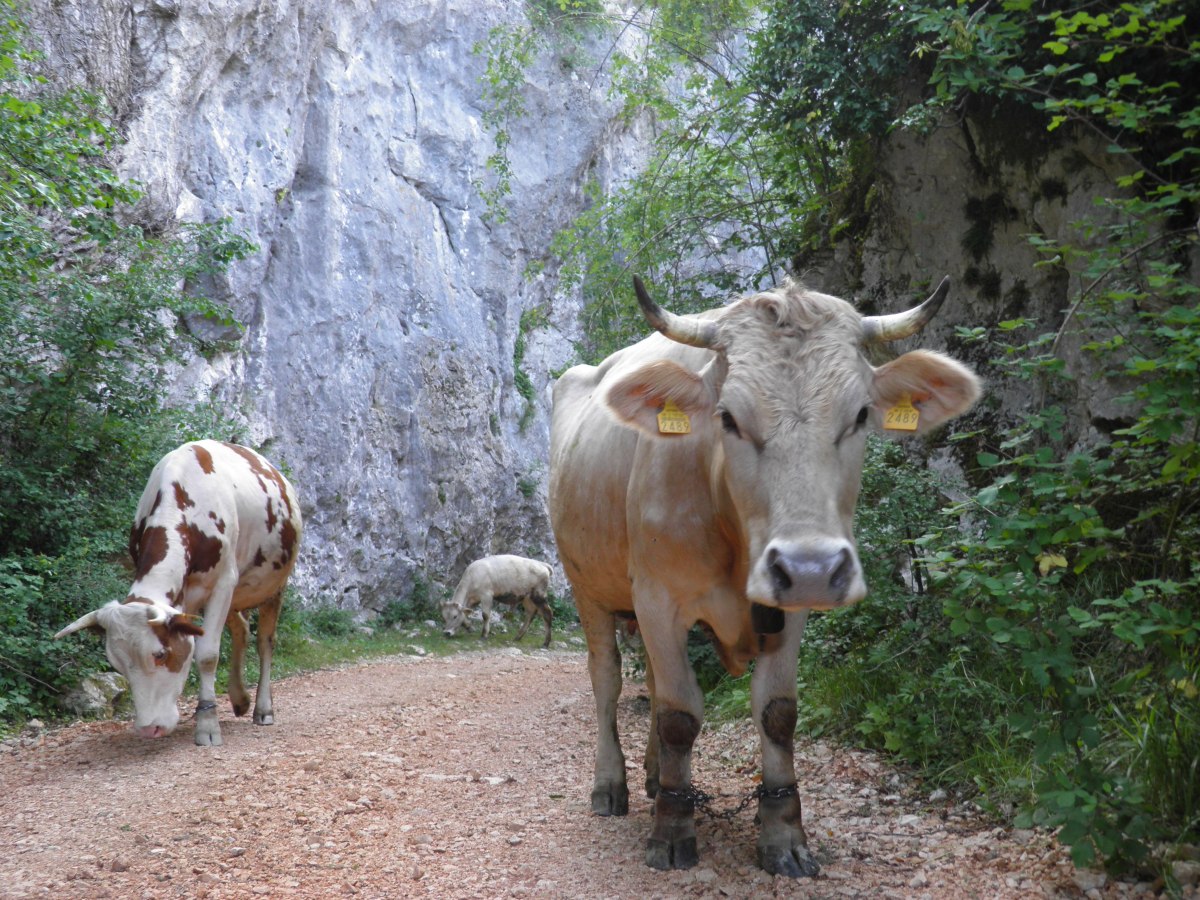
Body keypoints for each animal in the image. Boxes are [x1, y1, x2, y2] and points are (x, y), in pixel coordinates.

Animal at [55, 440, 302, 747]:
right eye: (117, 664)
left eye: (161, 654)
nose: (149, 728)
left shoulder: (223, 583)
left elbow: (207, 654)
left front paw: (207, 725)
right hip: (235, 594)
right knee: (242, 630)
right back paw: (239, 698)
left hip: (273, 584)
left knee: (265, 641)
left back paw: (263, 708)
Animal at [549, 275, 980, 876]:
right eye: (727, 417)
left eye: (861, 415)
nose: (810, 568)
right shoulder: (659, 597)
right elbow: (680, 714)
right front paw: (672, 831)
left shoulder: (788, 609)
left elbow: (776, 712)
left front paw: (783, 836)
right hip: (586, 587)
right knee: (608, 681)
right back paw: (612, 786)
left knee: (654, 687)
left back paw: (658, 777)